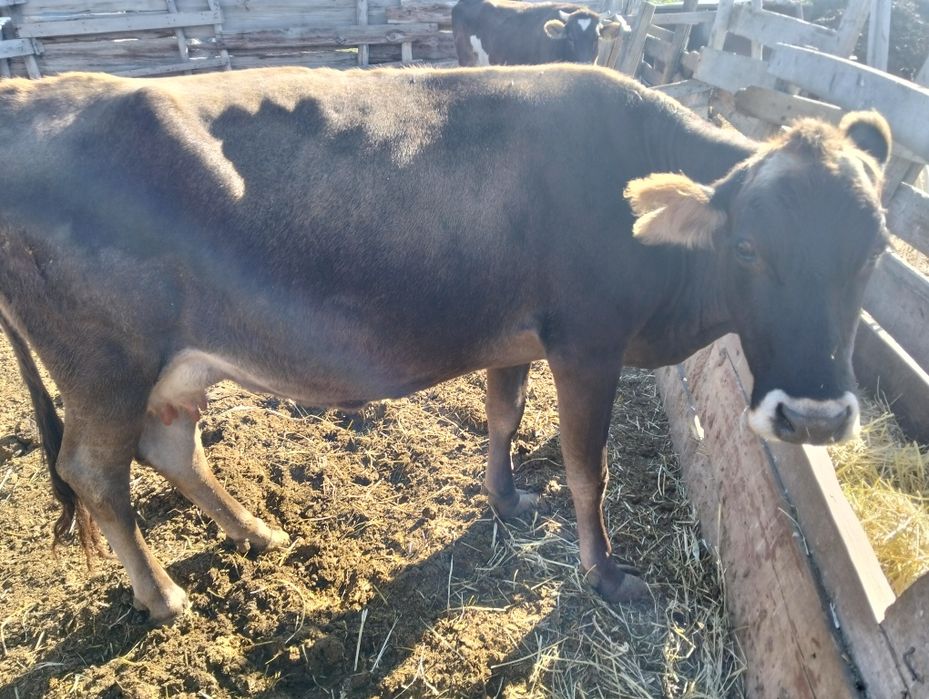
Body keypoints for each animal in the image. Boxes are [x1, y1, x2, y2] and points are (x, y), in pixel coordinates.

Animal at [0, 65, 890, 624]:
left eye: (876, 247)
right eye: (747, 248)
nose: (813, 416)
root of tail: (32, 96)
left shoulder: (514, 336)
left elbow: (503, 416)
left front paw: (505, 499)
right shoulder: (587, 341)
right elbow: (585, 465)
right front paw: (604, 573)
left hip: (174, 364)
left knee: (170, 445)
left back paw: (255, 530)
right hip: (104, 363)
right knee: (94, 470)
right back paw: (162, 595)